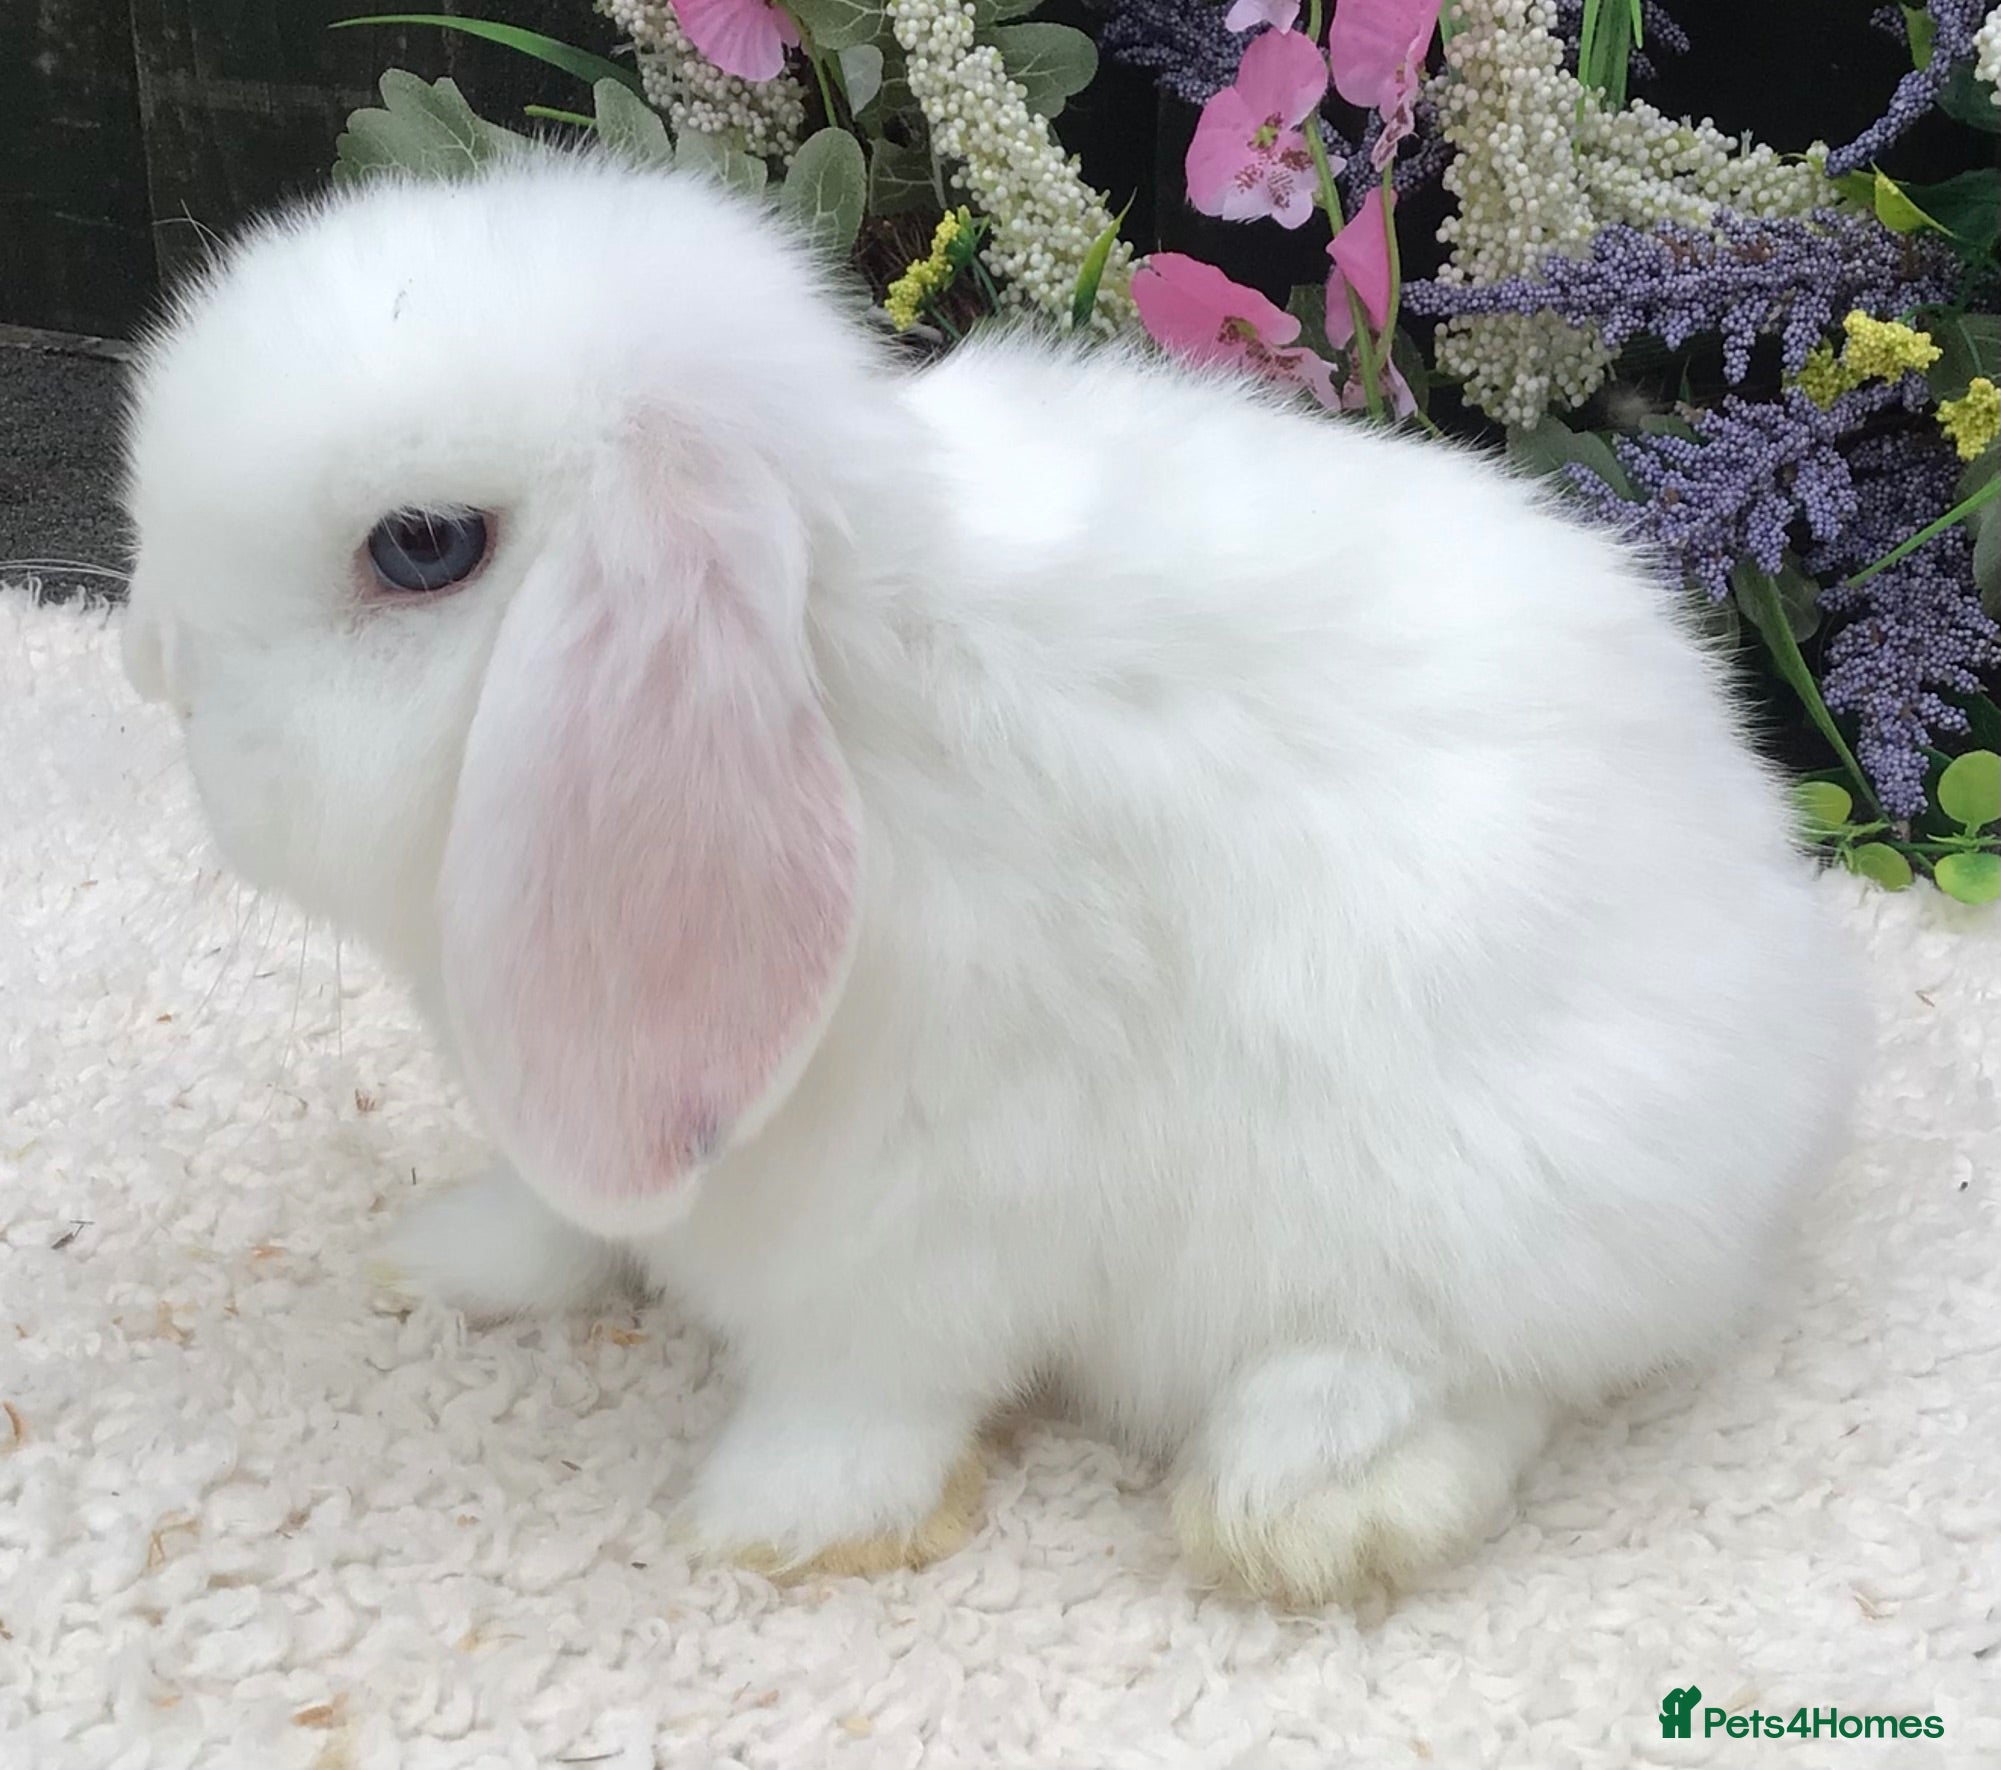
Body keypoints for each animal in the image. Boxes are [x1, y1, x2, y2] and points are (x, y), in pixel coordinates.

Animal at [119, 152, 1868, 1604]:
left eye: (421, 545)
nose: (154, 671)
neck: (844, 698)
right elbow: (569, 1209)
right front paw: (451, 1261)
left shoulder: (930, 1200)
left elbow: (870, 1374)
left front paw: (781, 1518)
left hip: (1467, 1186)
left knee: (1482, 1372)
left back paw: (1301, 1506)